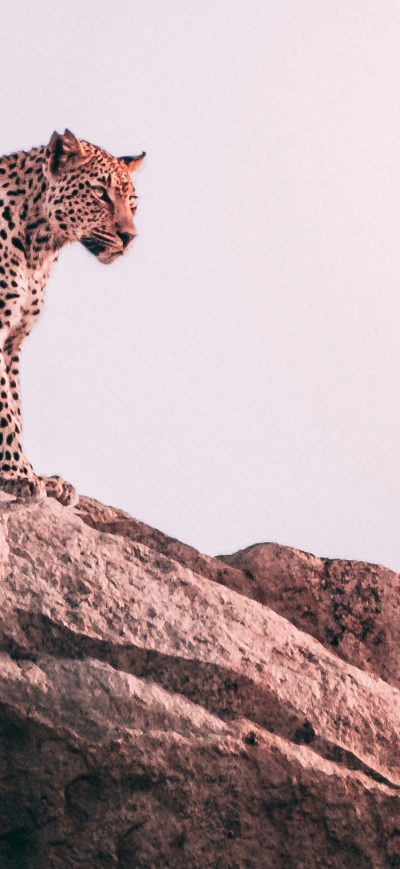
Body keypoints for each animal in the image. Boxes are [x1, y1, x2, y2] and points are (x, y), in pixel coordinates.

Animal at [0, 128, 144, 506]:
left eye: (132, 202)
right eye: (100, 193)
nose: (130, 237)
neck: (39, 244)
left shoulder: (13, 341)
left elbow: (15, 409)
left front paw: (37, 475)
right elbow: (5, 408)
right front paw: (17, 475)